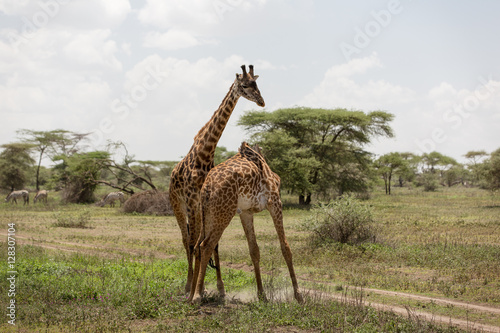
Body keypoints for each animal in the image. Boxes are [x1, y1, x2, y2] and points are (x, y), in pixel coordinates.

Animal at [169, 64, 266, 294]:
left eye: (257, 84)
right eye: (245, 85)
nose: (261, 101)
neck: (205, 153)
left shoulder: (205, 203)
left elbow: (213, 244)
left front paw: (218, 287)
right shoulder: (192, 201)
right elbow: (194, 243)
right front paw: (192, 286)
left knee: (197, 241)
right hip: (177, 204)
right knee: (186, 240)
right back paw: (188, 284)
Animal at [188, 141, 302, 302]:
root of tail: (207, 187)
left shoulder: (246, 211)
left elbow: (254, 250)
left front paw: (262, 296)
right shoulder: (275, 202)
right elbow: (285, 247)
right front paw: (299, 296)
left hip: (209, 213)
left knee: (198, 245)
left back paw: (191, 294)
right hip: (224, 213)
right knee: (206, 245)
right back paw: (197, 296)